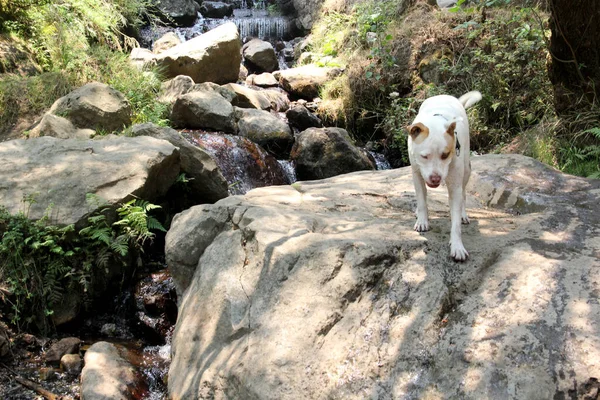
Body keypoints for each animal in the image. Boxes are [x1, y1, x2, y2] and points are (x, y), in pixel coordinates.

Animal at [404, 90, 482, 260]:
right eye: (424, 156)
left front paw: (457, 246)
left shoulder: (455, 184)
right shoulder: (417, 174)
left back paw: (463, 214)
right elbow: (421, 199)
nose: (435, 178)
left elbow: (456, 222)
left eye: (445, 155)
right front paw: (422, 220)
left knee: (463, 194)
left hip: (466, 168)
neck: (435, 122)